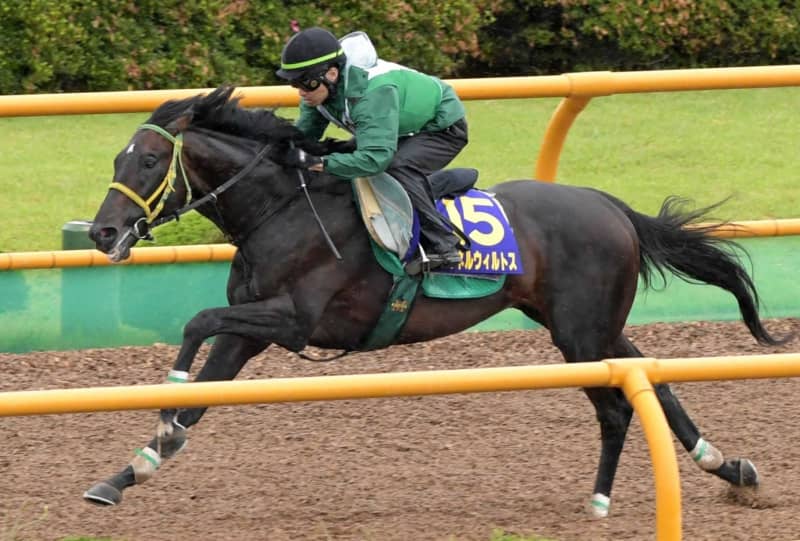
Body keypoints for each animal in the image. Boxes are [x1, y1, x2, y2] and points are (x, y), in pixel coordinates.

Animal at [86, 85, 785, 515]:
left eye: (148, 161)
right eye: (118, 158)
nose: (102, 233)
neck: (282, 208)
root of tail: (609, 204)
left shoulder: (293, 321)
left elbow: (196, 323)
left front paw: (165, 408)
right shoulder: (250, 330)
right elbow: (203, 392)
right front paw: (127, 473)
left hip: (580, 334)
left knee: (618, 406)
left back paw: (602, 499)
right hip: (587, 326)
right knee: (651, 381)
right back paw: (729, 466)